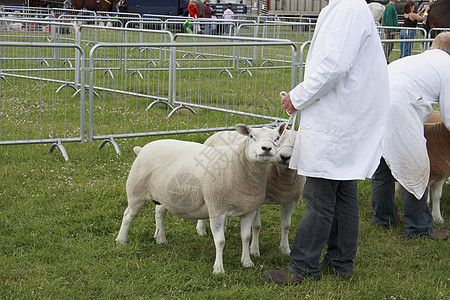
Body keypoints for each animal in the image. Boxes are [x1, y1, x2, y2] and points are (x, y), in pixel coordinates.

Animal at [115, 123, 284, 274]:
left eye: (277, 138)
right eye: (251, 136)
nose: (266, 149)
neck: (238, 166)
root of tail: (143, 148)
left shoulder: (248, 210)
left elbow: (246, 237)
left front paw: (247, 262)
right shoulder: (217, 208)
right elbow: (220, 241)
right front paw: (219, 269)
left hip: (165, 194)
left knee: (160, 213)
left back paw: (161, 238)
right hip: (136, 191)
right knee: (128, 215)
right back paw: (121, 240)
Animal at [195, 126, 304, 255]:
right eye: (279, 140)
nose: (285, 157)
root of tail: (219, 132)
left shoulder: (291, 201)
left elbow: (286, 226)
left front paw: (285, 249)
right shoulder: (257, 202)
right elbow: (256, 226)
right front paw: (254, 250)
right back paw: (201, 230)